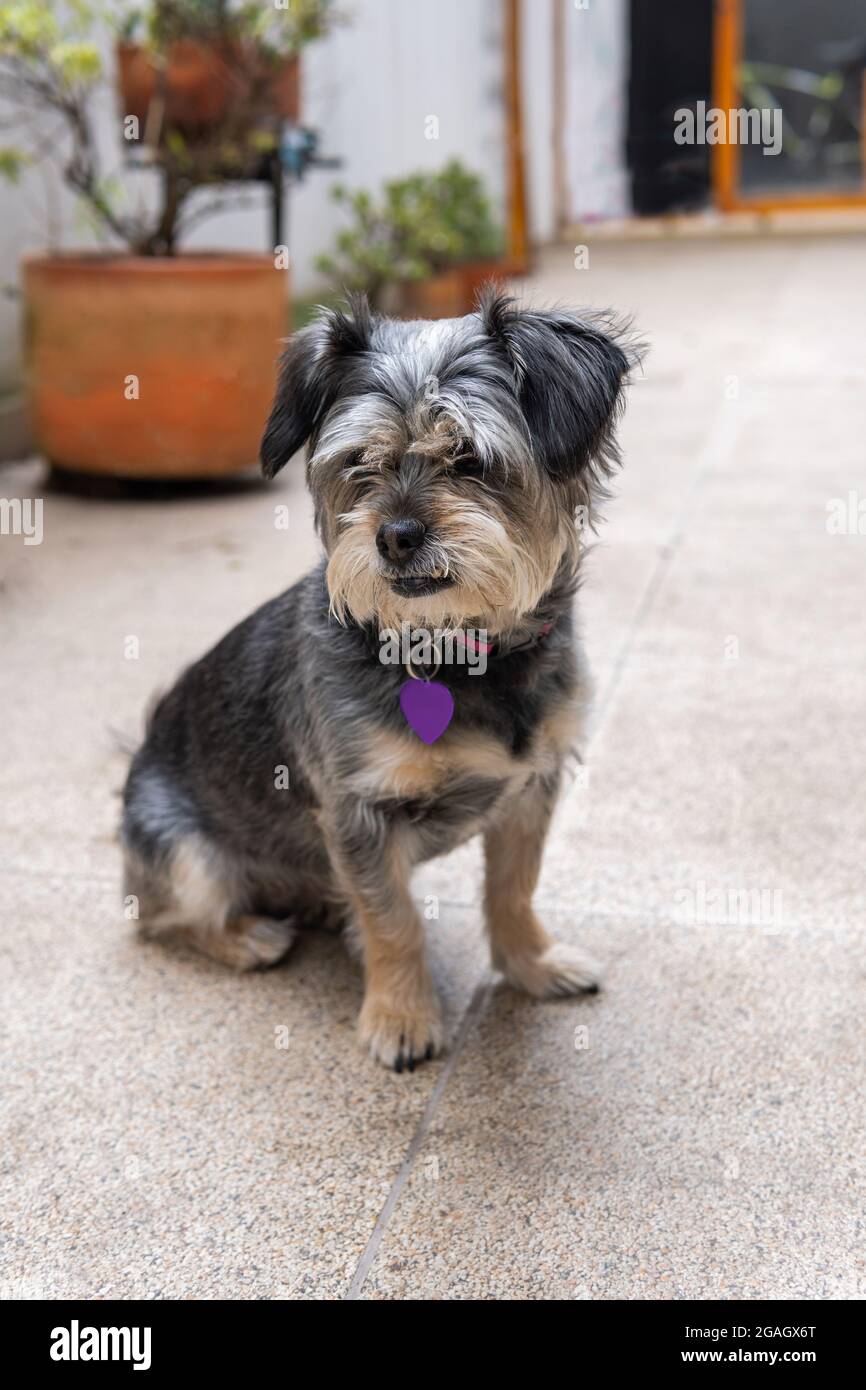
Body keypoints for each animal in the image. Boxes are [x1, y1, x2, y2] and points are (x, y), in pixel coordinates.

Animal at [120, 290, 636, 1073]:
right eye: (359, 463)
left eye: (470, 459)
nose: (393, 535)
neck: (458, 651)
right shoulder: (359, 812)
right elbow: (394, 922)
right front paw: (402, 1018)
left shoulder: (532, 788)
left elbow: (513, 889)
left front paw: (531, 966)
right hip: (181, 849)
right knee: (169, 916)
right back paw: (247, 936)